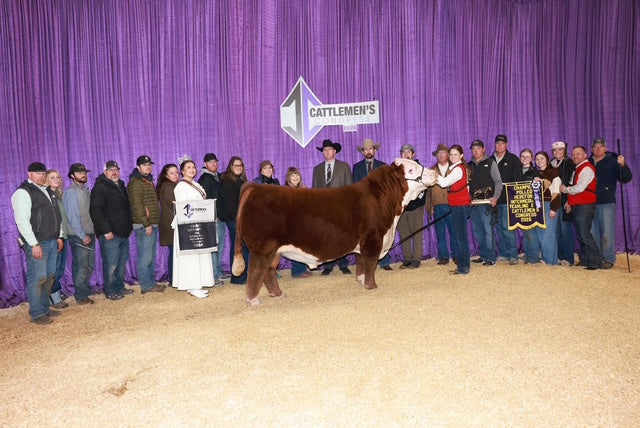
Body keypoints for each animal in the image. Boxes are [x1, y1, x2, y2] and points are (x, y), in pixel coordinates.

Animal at [232, 158, 437, 307]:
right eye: (411, 170)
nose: (434, 172)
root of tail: (255, 186)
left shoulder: (363, 242)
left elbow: (361, 262)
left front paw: (360, 281)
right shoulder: (373, 238)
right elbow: (371, 264)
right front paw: (371, 286)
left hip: (273, 251)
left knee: (269, 272)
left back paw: (277, 294)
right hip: (262, 249)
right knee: (256, 271)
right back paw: (253, 301)